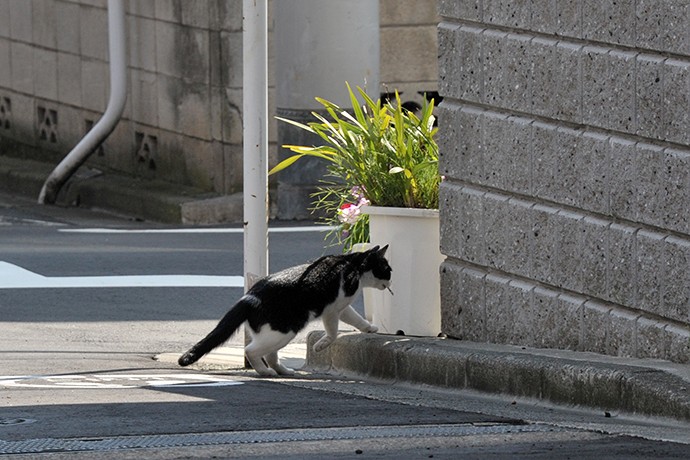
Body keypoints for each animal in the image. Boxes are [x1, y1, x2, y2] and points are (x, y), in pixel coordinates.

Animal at [177, 244, 390, 378]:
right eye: (388, 269)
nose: (390, 281)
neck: (353, 264)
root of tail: (249, 298)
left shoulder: (341, 306)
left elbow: (355, 318)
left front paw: (369, 328)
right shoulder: (331, 309)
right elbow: (333, 331)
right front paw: (320, 346)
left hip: (276, 333)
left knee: (270, 355)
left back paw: (283, 371)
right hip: (283, 331)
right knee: (251, 350)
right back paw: (265, 372)